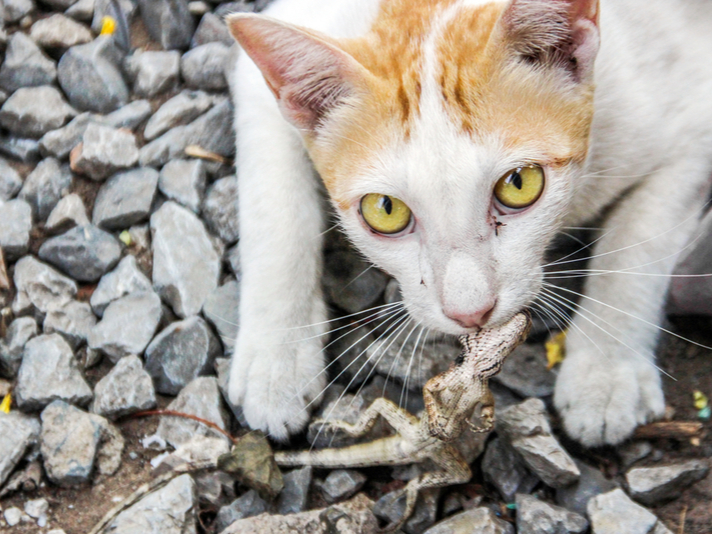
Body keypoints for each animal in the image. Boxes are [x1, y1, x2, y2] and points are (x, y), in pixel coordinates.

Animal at [225, 0, 712, 448]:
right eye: (386, 210)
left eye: (520, 184)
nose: (470, 312)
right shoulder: (268, 66)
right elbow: (275, 210)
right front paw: (277, 361)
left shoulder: (691, 117)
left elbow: (639, 246)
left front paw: (607, 372)